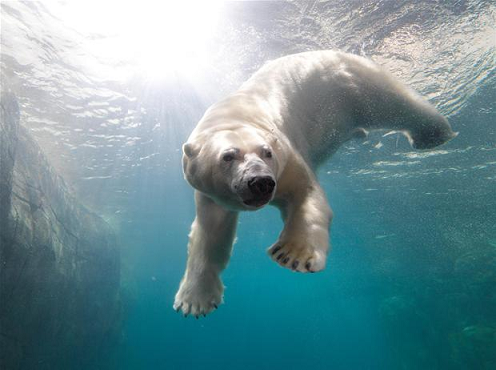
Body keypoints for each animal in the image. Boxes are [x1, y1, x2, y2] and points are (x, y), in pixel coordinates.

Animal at [174, 49, 458, 318]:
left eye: (267, 152)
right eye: (228, 156)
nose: (261, 182)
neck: (235, 115)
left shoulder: (287, 157)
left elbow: (306, 196)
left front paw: (292, 255)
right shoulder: (209, 192)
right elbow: (210, 233)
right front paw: (194, 300)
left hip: (352, 84)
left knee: (397, 102)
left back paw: (432, 134)